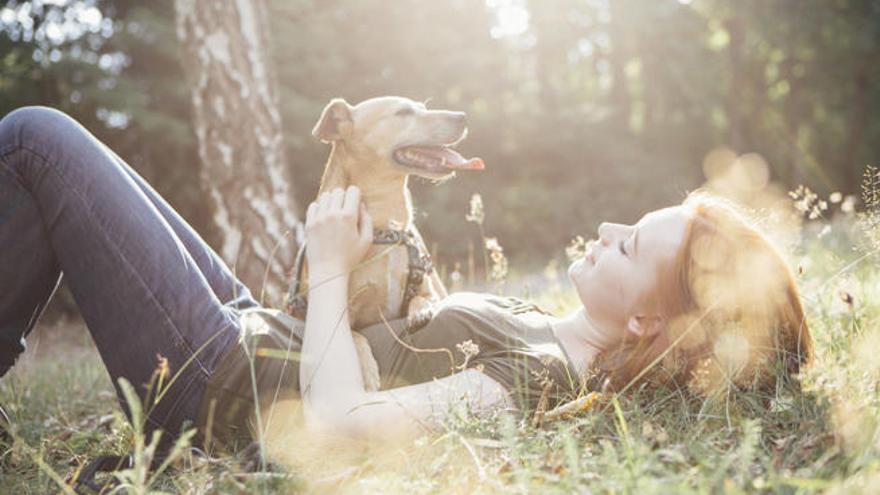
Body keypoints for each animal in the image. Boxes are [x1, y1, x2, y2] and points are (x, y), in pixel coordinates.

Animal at [288, 96, 482, 392]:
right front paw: (367, 372)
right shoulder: (338, 313)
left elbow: (424, 298)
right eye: (402, 112)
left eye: (423, 108)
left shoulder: (427, 287)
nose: (462, 117)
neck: (387, 230)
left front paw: (421, 309)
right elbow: (354, 335)